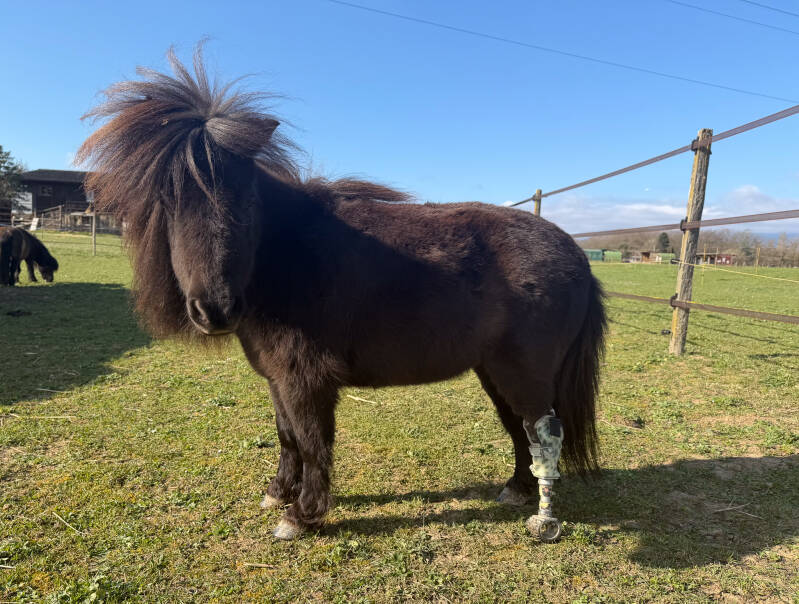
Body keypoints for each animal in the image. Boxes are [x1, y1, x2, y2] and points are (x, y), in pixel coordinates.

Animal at [77, 47, 606, 542]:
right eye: (167, 200)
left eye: (245, 200)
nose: (216, 309)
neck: (285, 258)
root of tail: (577, 255)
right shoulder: (277, 378)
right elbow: (287, 436)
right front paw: (278, 493)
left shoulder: (306, 379)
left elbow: (313, 442)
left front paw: (302, 515)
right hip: (494, 371)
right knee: (520, 430)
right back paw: (517, 491)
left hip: (523, 372)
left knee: (541, 431)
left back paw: (542, 516)